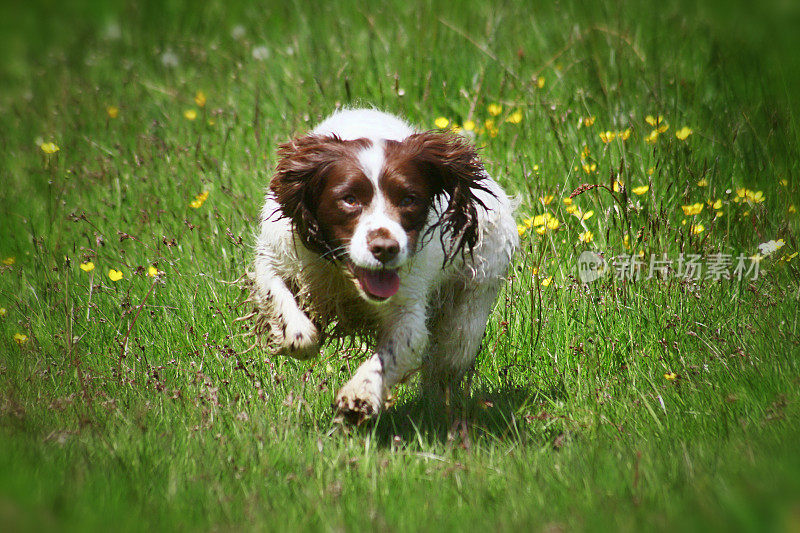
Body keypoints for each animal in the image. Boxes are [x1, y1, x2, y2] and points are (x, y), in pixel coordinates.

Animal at [250, 108, 520, 422]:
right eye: (349, 199)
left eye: (409, 199)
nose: (385, 248)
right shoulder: (276, 254)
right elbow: (281, 301)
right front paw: (298, 334)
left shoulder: (408, 307)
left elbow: (396, 351)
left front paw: (360, 395)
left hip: (468, 314)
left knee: (447, 362)